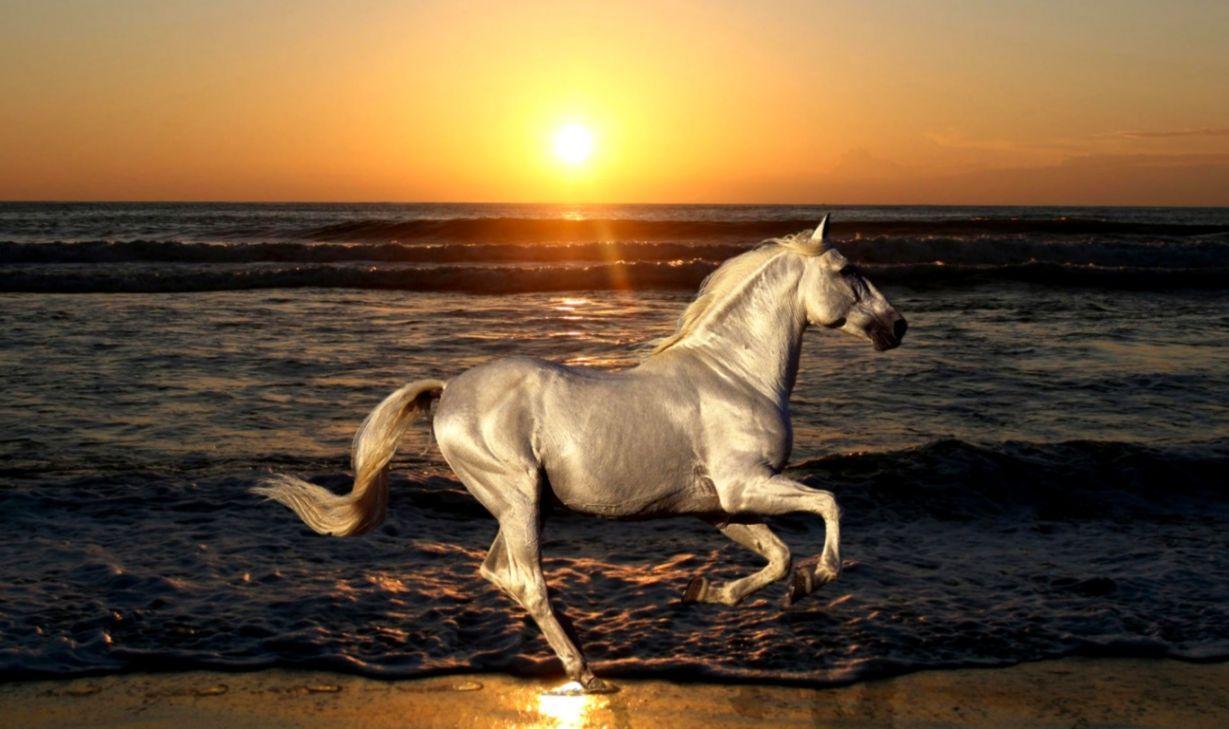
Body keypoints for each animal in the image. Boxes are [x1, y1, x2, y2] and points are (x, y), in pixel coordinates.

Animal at [254, 215, 907, 693]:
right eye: (849, 269)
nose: (897, 326)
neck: (734, 374)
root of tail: (448, 391)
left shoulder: (720, 508)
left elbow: (776, 558)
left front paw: (705, 592)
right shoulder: (746, 485)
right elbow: (828, 506)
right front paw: (815, 581)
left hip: (521, 505)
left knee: (498, 572)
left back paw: (580, 653)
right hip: (518, 498)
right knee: (527, 581)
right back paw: (586, 671)